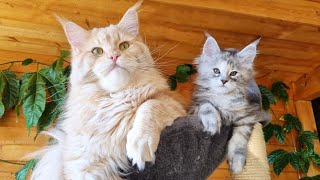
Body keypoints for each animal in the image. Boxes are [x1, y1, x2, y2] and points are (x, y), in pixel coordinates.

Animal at [30, 1, 185, 179]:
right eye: (97, 51)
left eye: (124, 46)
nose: (114, 56)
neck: (116, 99)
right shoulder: (85, 166)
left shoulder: (174, 104)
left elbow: (149, 106)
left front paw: (139, 142)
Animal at [189, 34, 272, 174]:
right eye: (216, 70)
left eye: (233, 73)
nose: (223, 81)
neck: (224, 98)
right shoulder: (194, 106)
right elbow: (207, 106)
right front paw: (212, 123)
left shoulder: (247, 116)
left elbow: (240, 139)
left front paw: (237, 162)